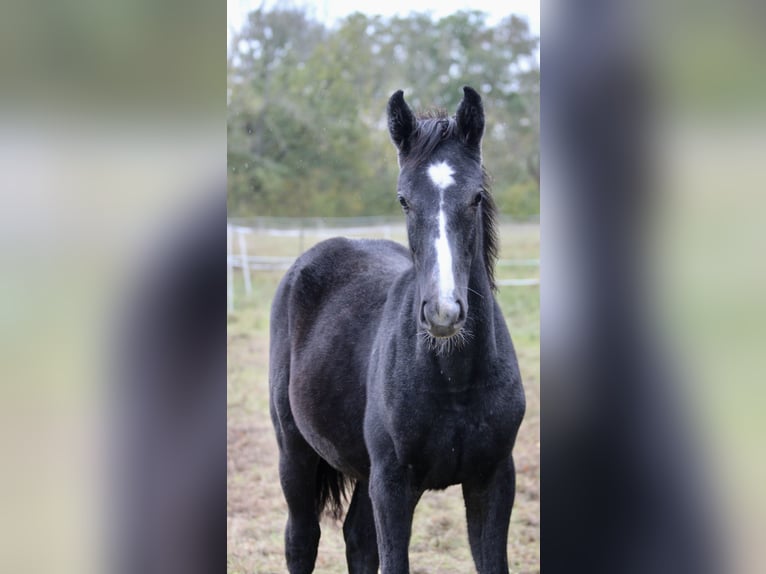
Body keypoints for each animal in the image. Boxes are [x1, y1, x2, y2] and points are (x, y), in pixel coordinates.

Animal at [269, 86, 526, 573]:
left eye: (476, 197)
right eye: (404, 199)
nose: (444, 313)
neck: (455, 381)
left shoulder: (493, 479)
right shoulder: (392, 486)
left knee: (357, 540)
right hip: (295, 452)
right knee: (301, 540)